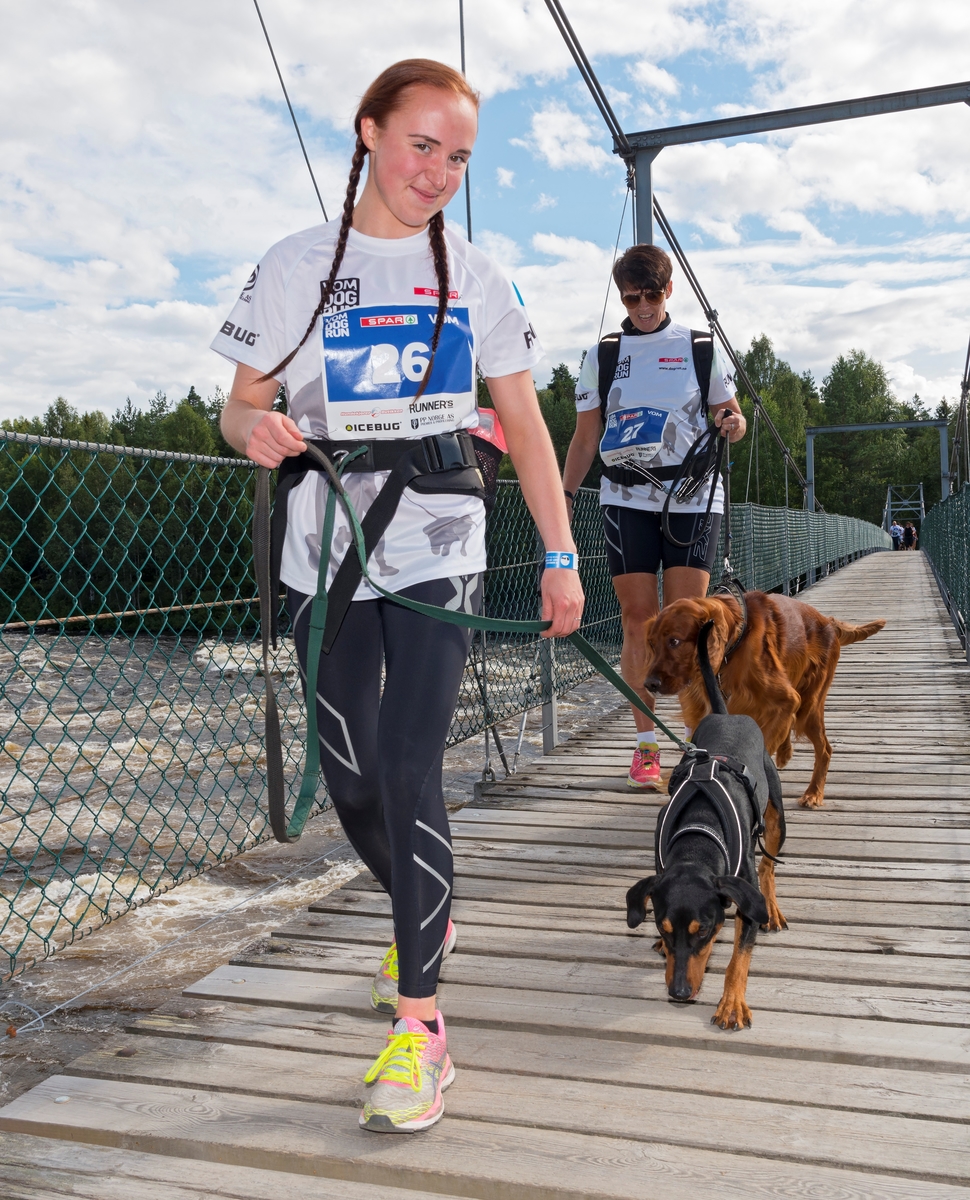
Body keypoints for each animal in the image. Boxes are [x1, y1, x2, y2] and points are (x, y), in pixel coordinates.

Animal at [624, 624, 782, 1027]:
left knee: (769, 863)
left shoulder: (744, 898)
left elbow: (739, 957)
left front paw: (731, 1004)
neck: (700, 833)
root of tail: (728, 715)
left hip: (775, 811)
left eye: (706, 930)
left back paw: (773, 908)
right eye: (662, 927)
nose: (679, 994)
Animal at [643, 590, 888, 806]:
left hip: (809, 707)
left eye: (674, 641)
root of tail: (827, 622)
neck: (735, 644)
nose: (649, 684)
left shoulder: (787, 700)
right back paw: (786, 754)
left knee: (824, 748)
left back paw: (813, 793)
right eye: (652, 644)